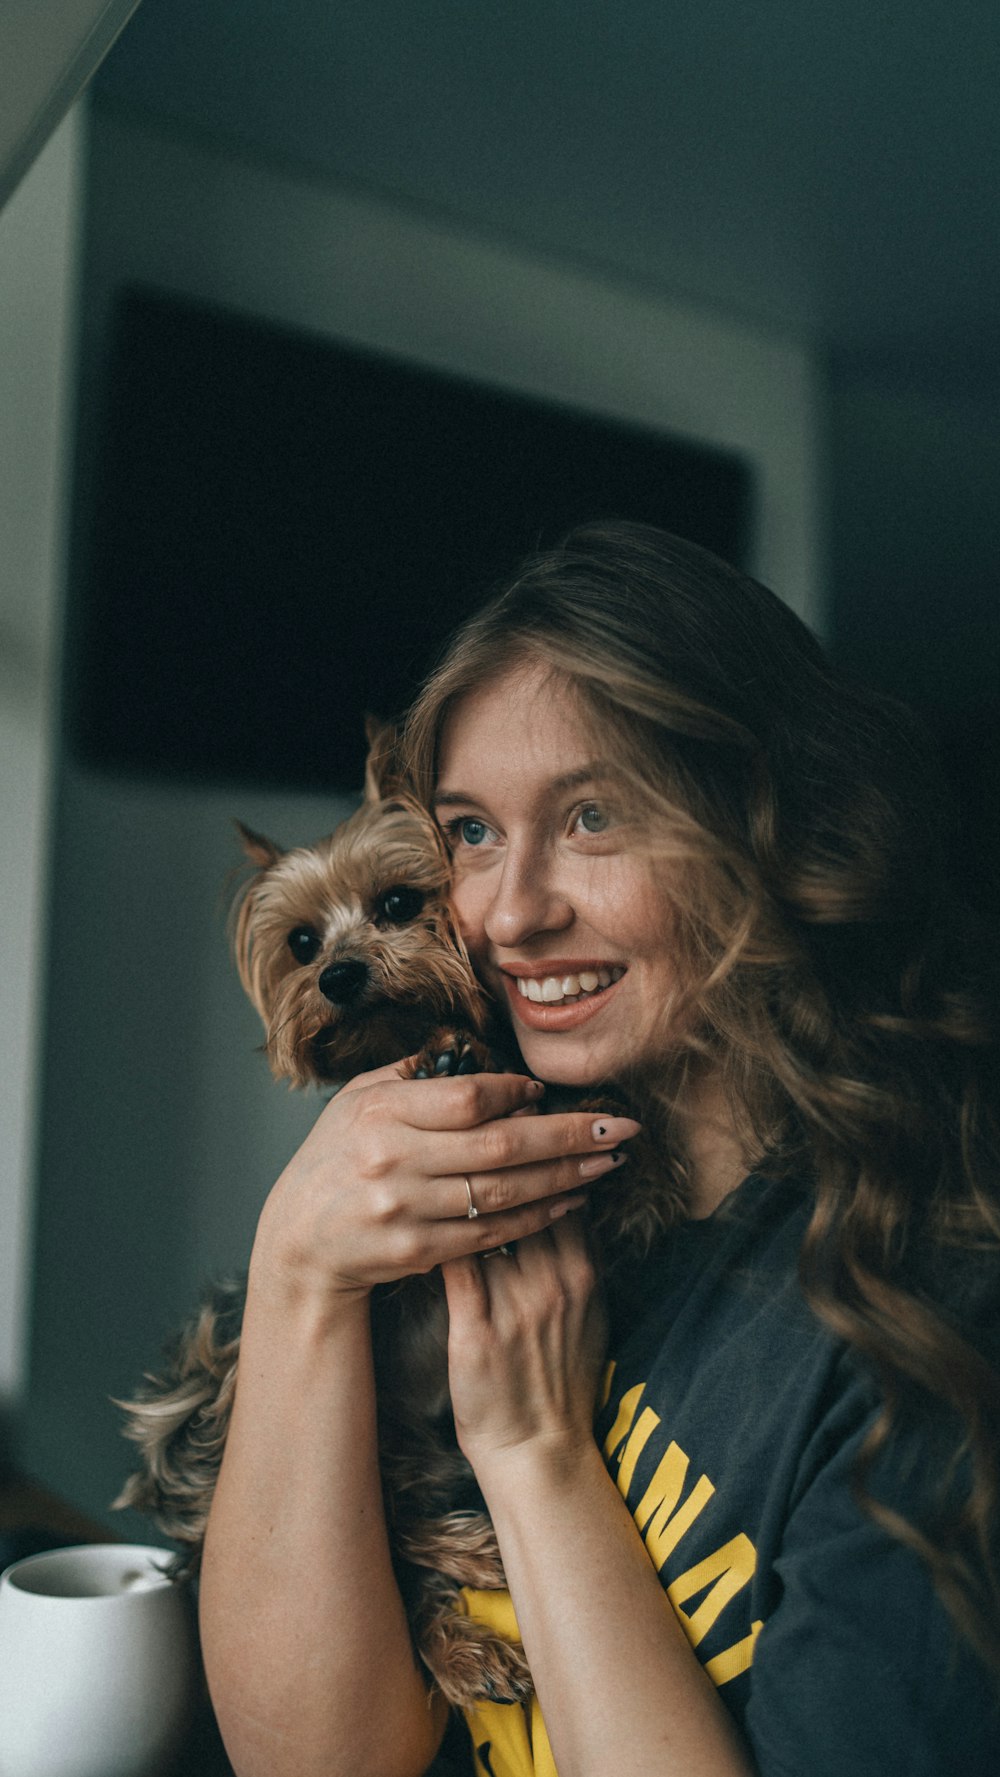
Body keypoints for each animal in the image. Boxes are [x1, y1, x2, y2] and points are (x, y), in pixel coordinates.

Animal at [115, 717, 682, 1705]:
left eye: (398, 902)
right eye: (302, 941)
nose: (341, 975)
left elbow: (599, 1147)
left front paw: (634, 1156)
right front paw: (452, 1059)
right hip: (221, 1397)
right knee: (392, 1538)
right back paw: (471, 1580)